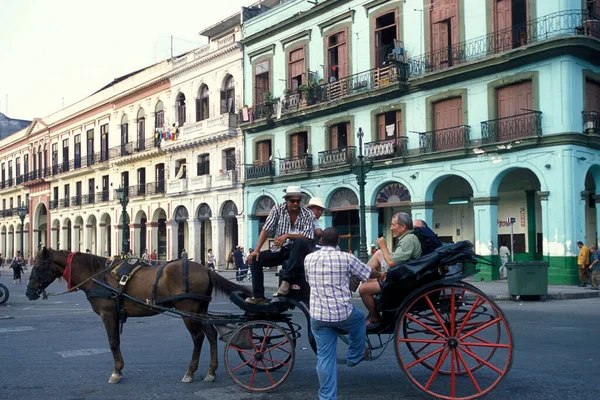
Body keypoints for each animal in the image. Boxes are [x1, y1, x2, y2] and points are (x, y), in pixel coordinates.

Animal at [25, 247, 251, 384]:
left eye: (39, 266)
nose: (29, 292)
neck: (99, 276)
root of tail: (206, 269)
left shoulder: (108, 315)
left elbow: (113, 342)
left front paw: (116, 372)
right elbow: (115, 342)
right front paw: (119, 369)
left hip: (188, 311)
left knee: (198, 338)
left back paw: (190, 372)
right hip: (200, 310)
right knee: (211, 335)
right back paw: (211, 372)